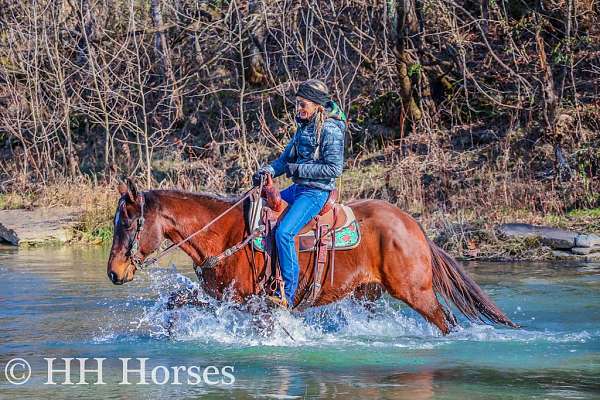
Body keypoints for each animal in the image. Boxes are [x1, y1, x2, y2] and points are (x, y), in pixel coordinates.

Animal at [106, 179, 516, 334]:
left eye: (127, 223)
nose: (113, 273)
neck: (223, 235)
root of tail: (414, 227)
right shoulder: (218, 297)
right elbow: (175, 302)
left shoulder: (253, 304)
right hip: (368, 294)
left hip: (416, 292)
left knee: (447, 321)